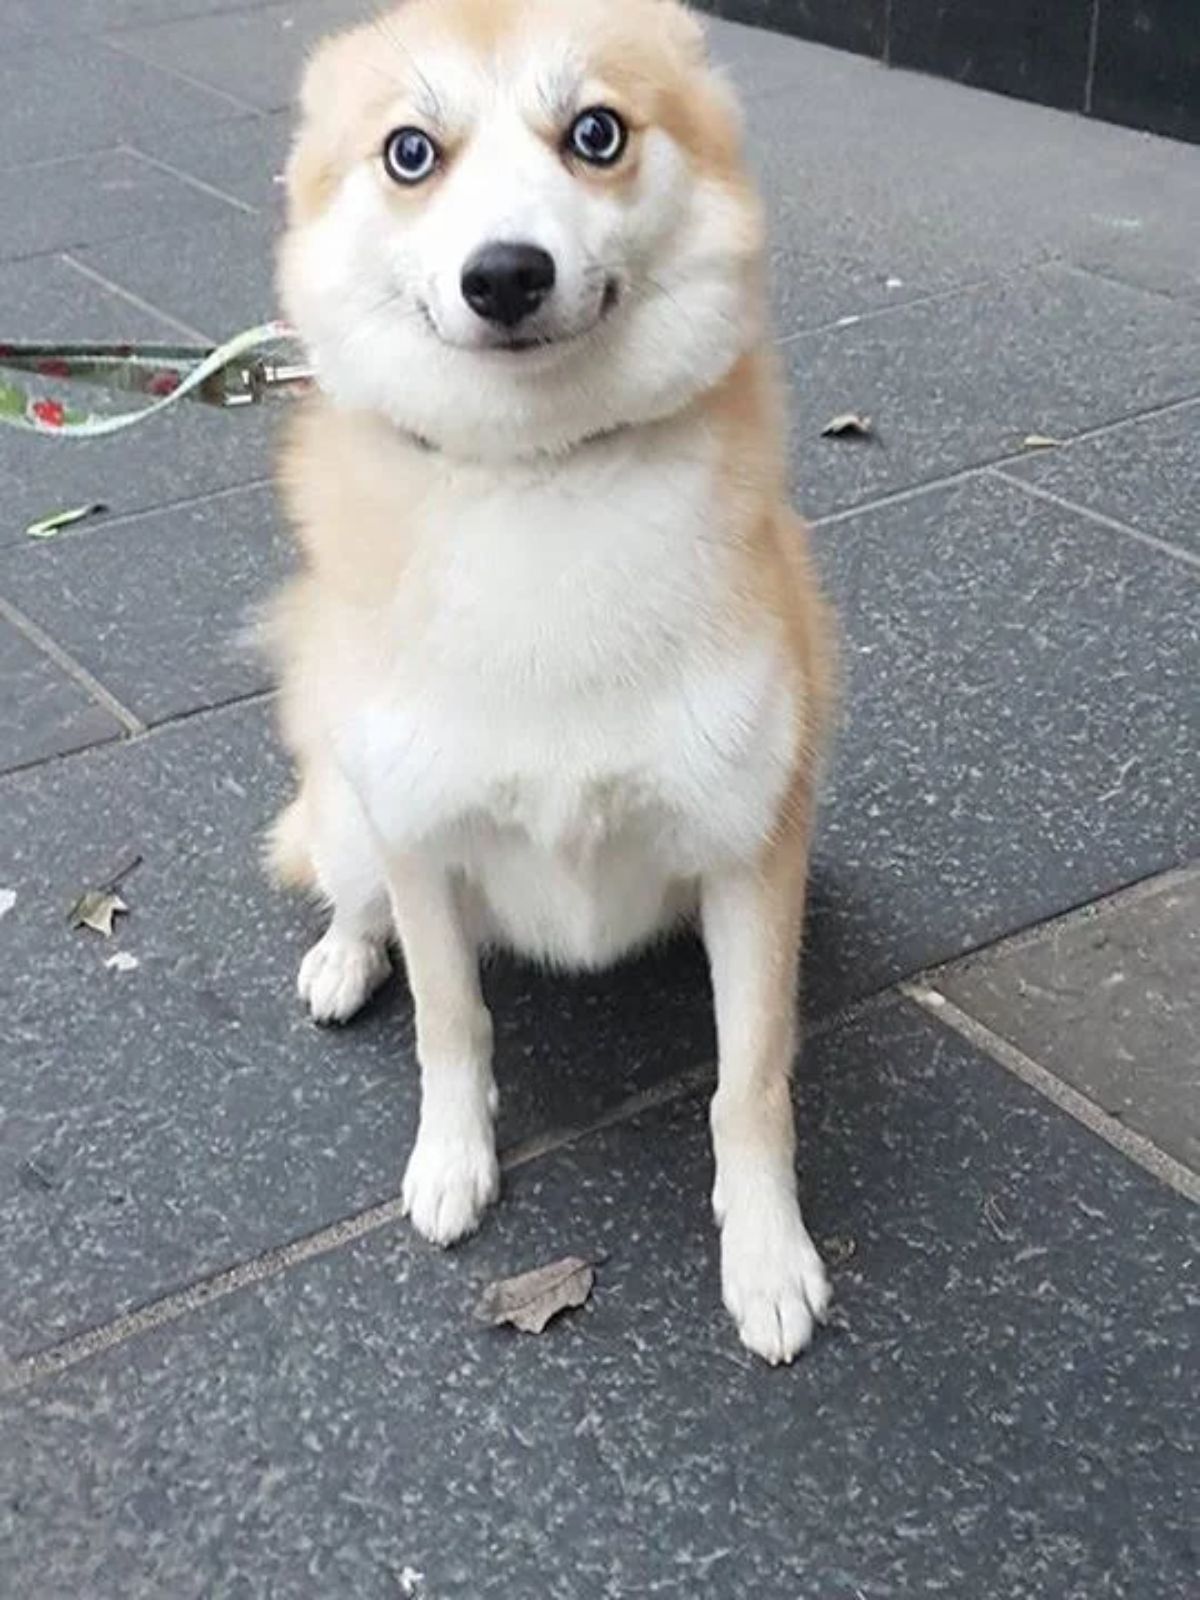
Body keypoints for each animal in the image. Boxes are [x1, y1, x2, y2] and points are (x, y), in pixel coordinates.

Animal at [270, 0, 838, 1363]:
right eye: (409, 153)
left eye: (596, 134)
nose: (506, 274)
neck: (543, 476)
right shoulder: (422, 841)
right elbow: (451, 1020)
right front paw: (451, 1163)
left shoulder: (751, 850)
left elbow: (752, 1079)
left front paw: (766, 1253)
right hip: (351, 813)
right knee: (354, 895)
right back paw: (340, 959)